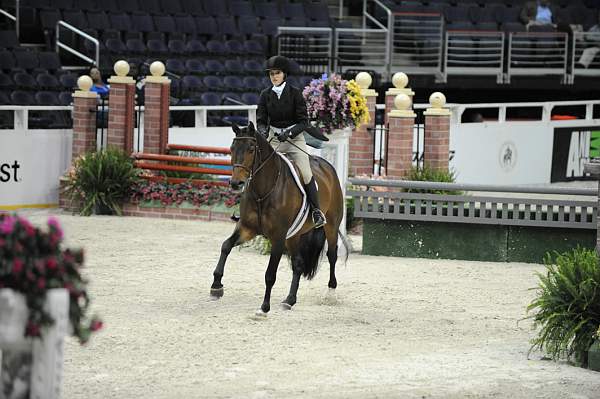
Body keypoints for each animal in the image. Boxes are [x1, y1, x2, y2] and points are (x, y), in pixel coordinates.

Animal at [211, 122, 350, 316]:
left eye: (251, 149)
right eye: (232, 148)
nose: (236, 183)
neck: (263, 190)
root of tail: (326, 166)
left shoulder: (278, 236)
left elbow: (270, 274)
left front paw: (264, 308)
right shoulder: (247, 228)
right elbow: (226, 246)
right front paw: (216, 286)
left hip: (330, 225)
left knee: (332, 255)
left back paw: (330, 293)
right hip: (293, 236)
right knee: (298, 264)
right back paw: (289, 300)